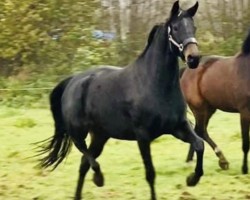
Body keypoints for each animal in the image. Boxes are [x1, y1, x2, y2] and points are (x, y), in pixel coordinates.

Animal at [38, 1, 203, 198]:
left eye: (194, 27)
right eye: (176, 28)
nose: (194, 58)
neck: (153, 84)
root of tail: (73, 81)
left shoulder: (178, 127)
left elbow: (199, 144)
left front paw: (192, 179)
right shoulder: (143, 136)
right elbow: (150, 173)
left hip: (100, 135)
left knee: (84, 163)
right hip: (78, 132)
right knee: (86, 155)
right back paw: (98, 178)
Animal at [181, 27, 250, 173]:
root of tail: (186, 69)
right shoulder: (245, 112)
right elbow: (246, 143)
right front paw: (244, 169)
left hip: (209, 108)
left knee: (198, 131)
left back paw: (190, 160)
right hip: (199, 108)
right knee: (201, 131)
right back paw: (222, 160)